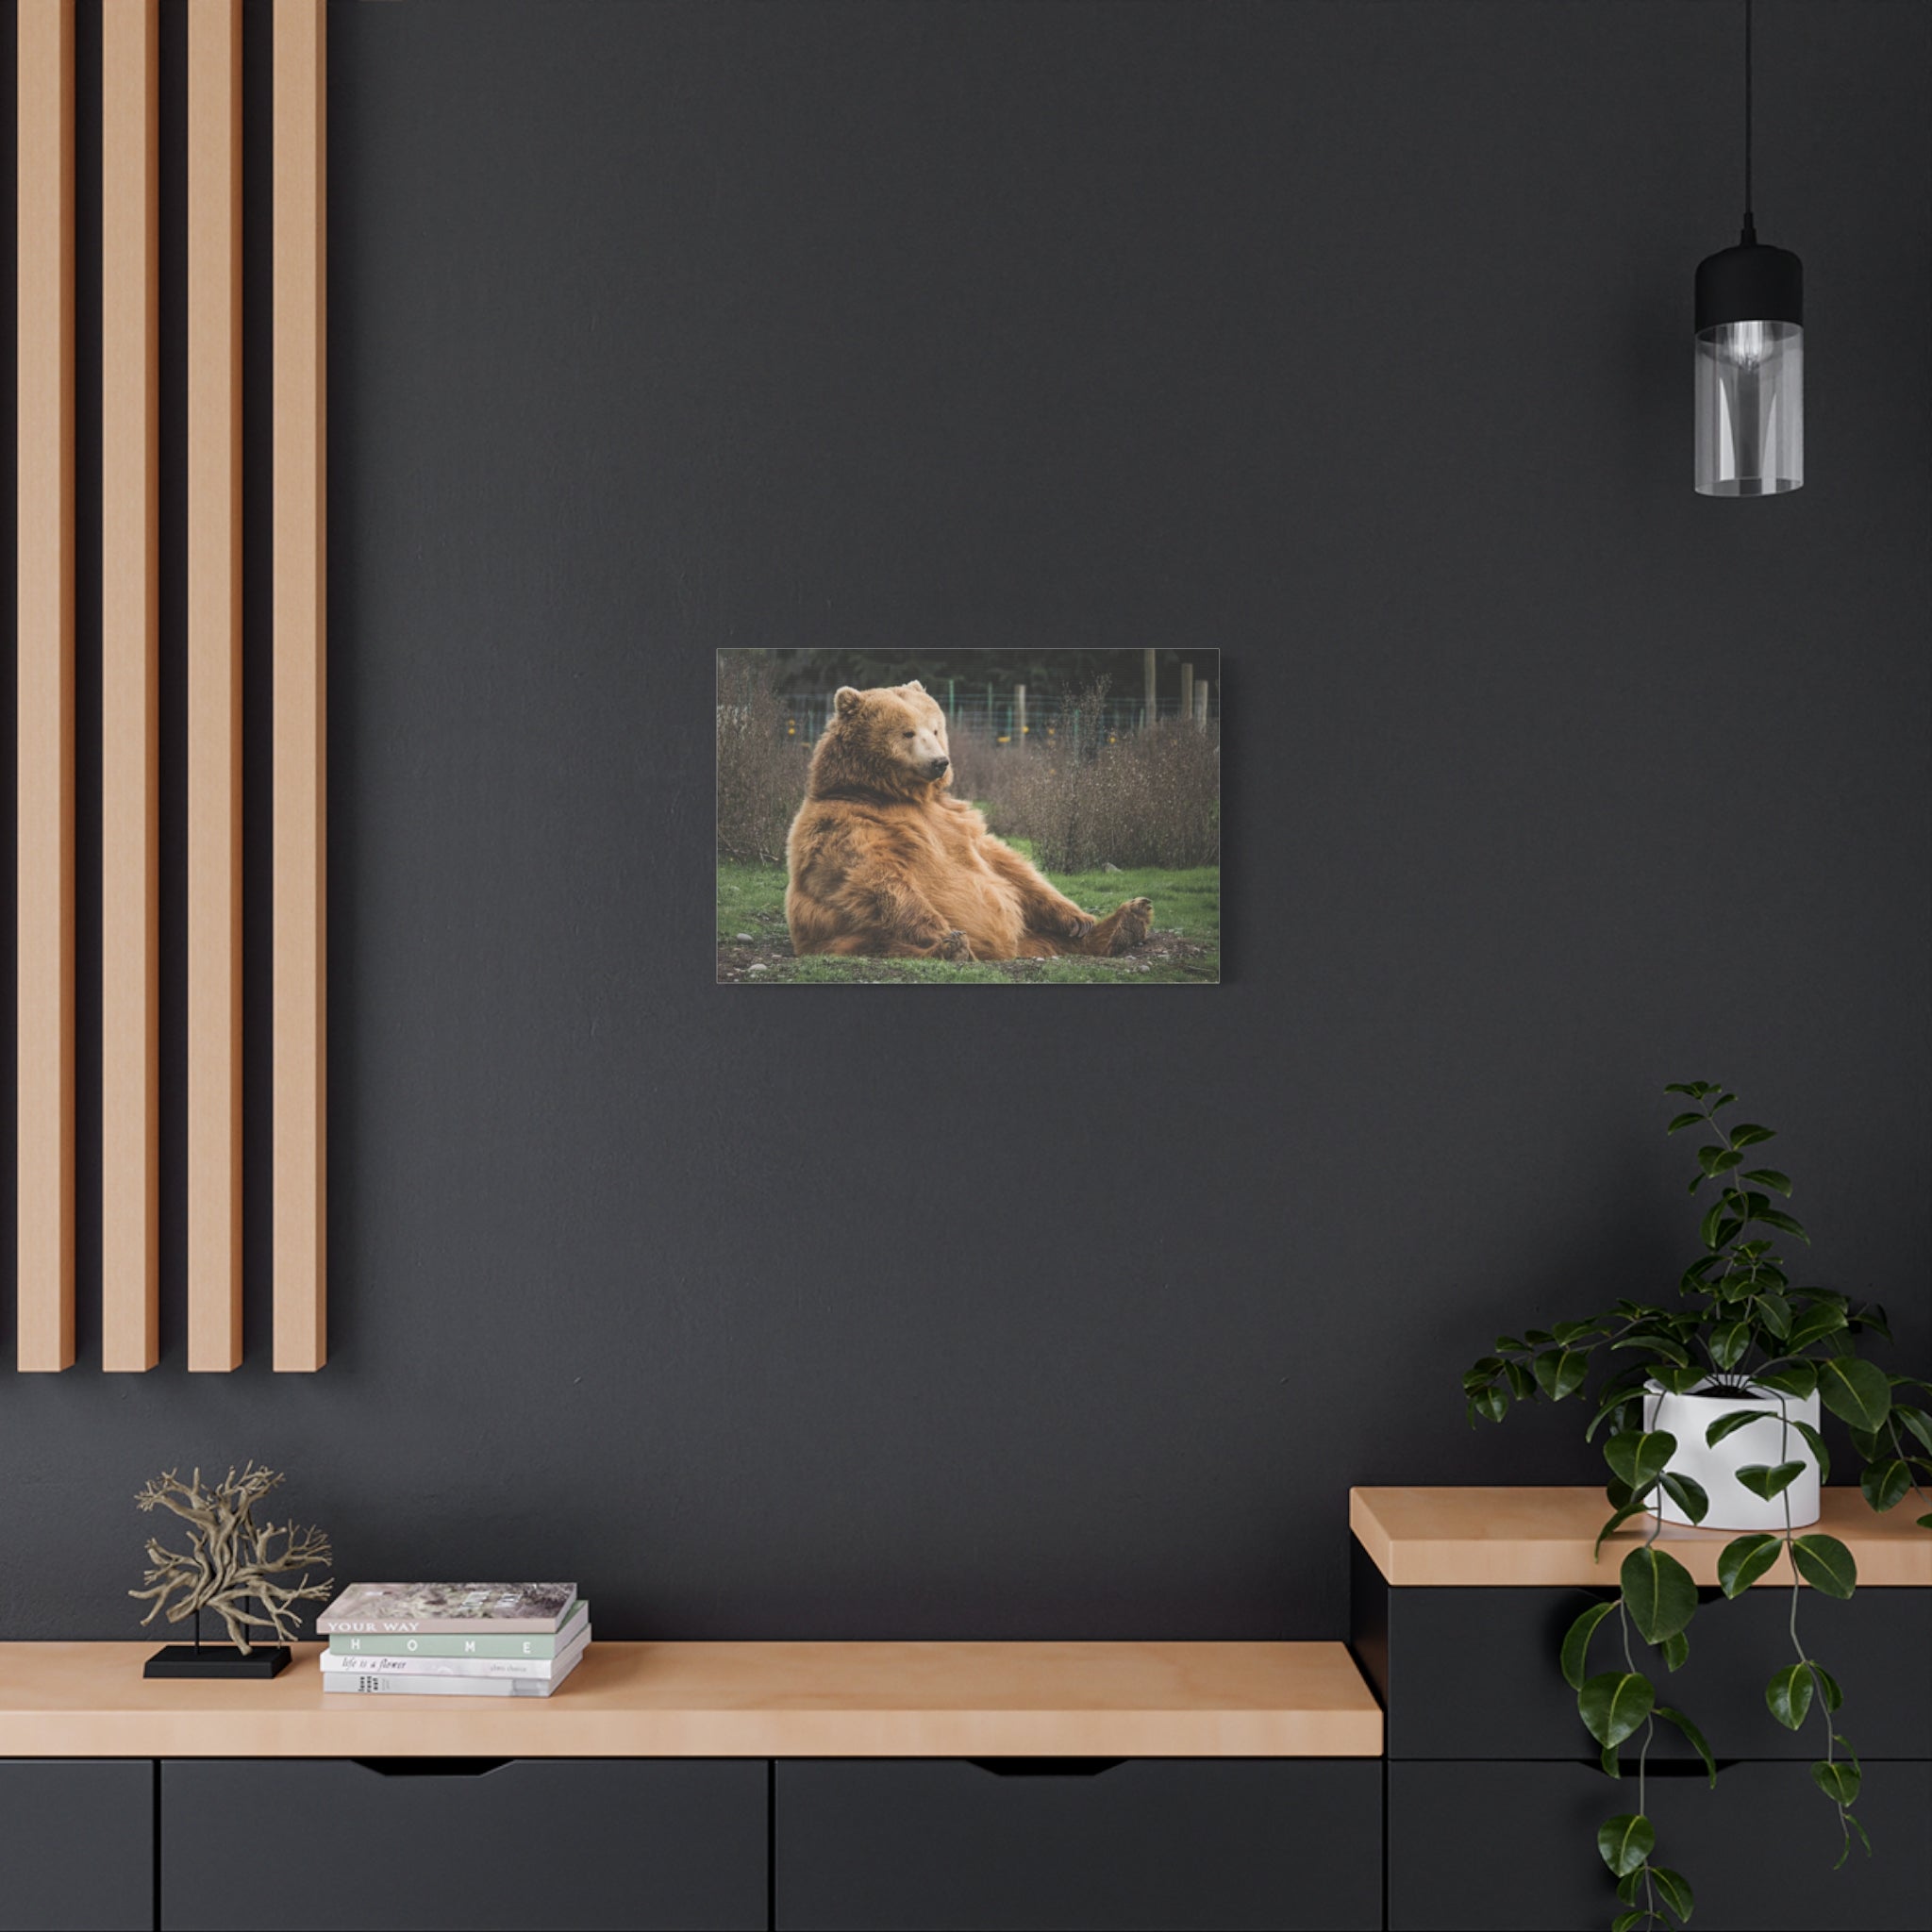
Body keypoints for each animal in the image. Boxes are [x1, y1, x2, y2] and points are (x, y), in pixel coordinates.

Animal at [784, 681, 1155, 961]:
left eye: (935, 728)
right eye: (907, 733)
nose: (940, 762)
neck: (895, 794)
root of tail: (1010, 950)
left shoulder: (956, 820)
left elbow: (1008, 865)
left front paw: (1078, 918)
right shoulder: (846, 824)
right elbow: (875, 877)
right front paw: (944, 932)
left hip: (1032, 933)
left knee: (1054, 938)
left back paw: (1128, 920)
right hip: (842, 936)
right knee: (885, 943)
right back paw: (951, 947)